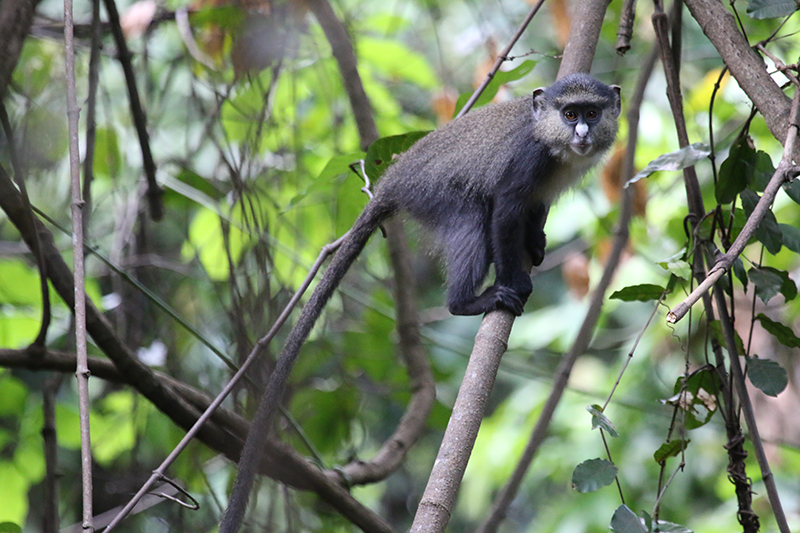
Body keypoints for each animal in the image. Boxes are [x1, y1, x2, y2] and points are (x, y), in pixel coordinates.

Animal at [220, 73, 620, 532]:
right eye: (569, 114)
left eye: (591, 112)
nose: (582, 132)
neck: (551, 142)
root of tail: (391, 180)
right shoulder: (527, 162)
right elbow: (505, 210)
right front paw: (513, 279)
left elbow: (534, 209)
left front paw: (534, 240)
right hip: (436, 196)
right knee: (474, 218)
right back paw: (467, 302)